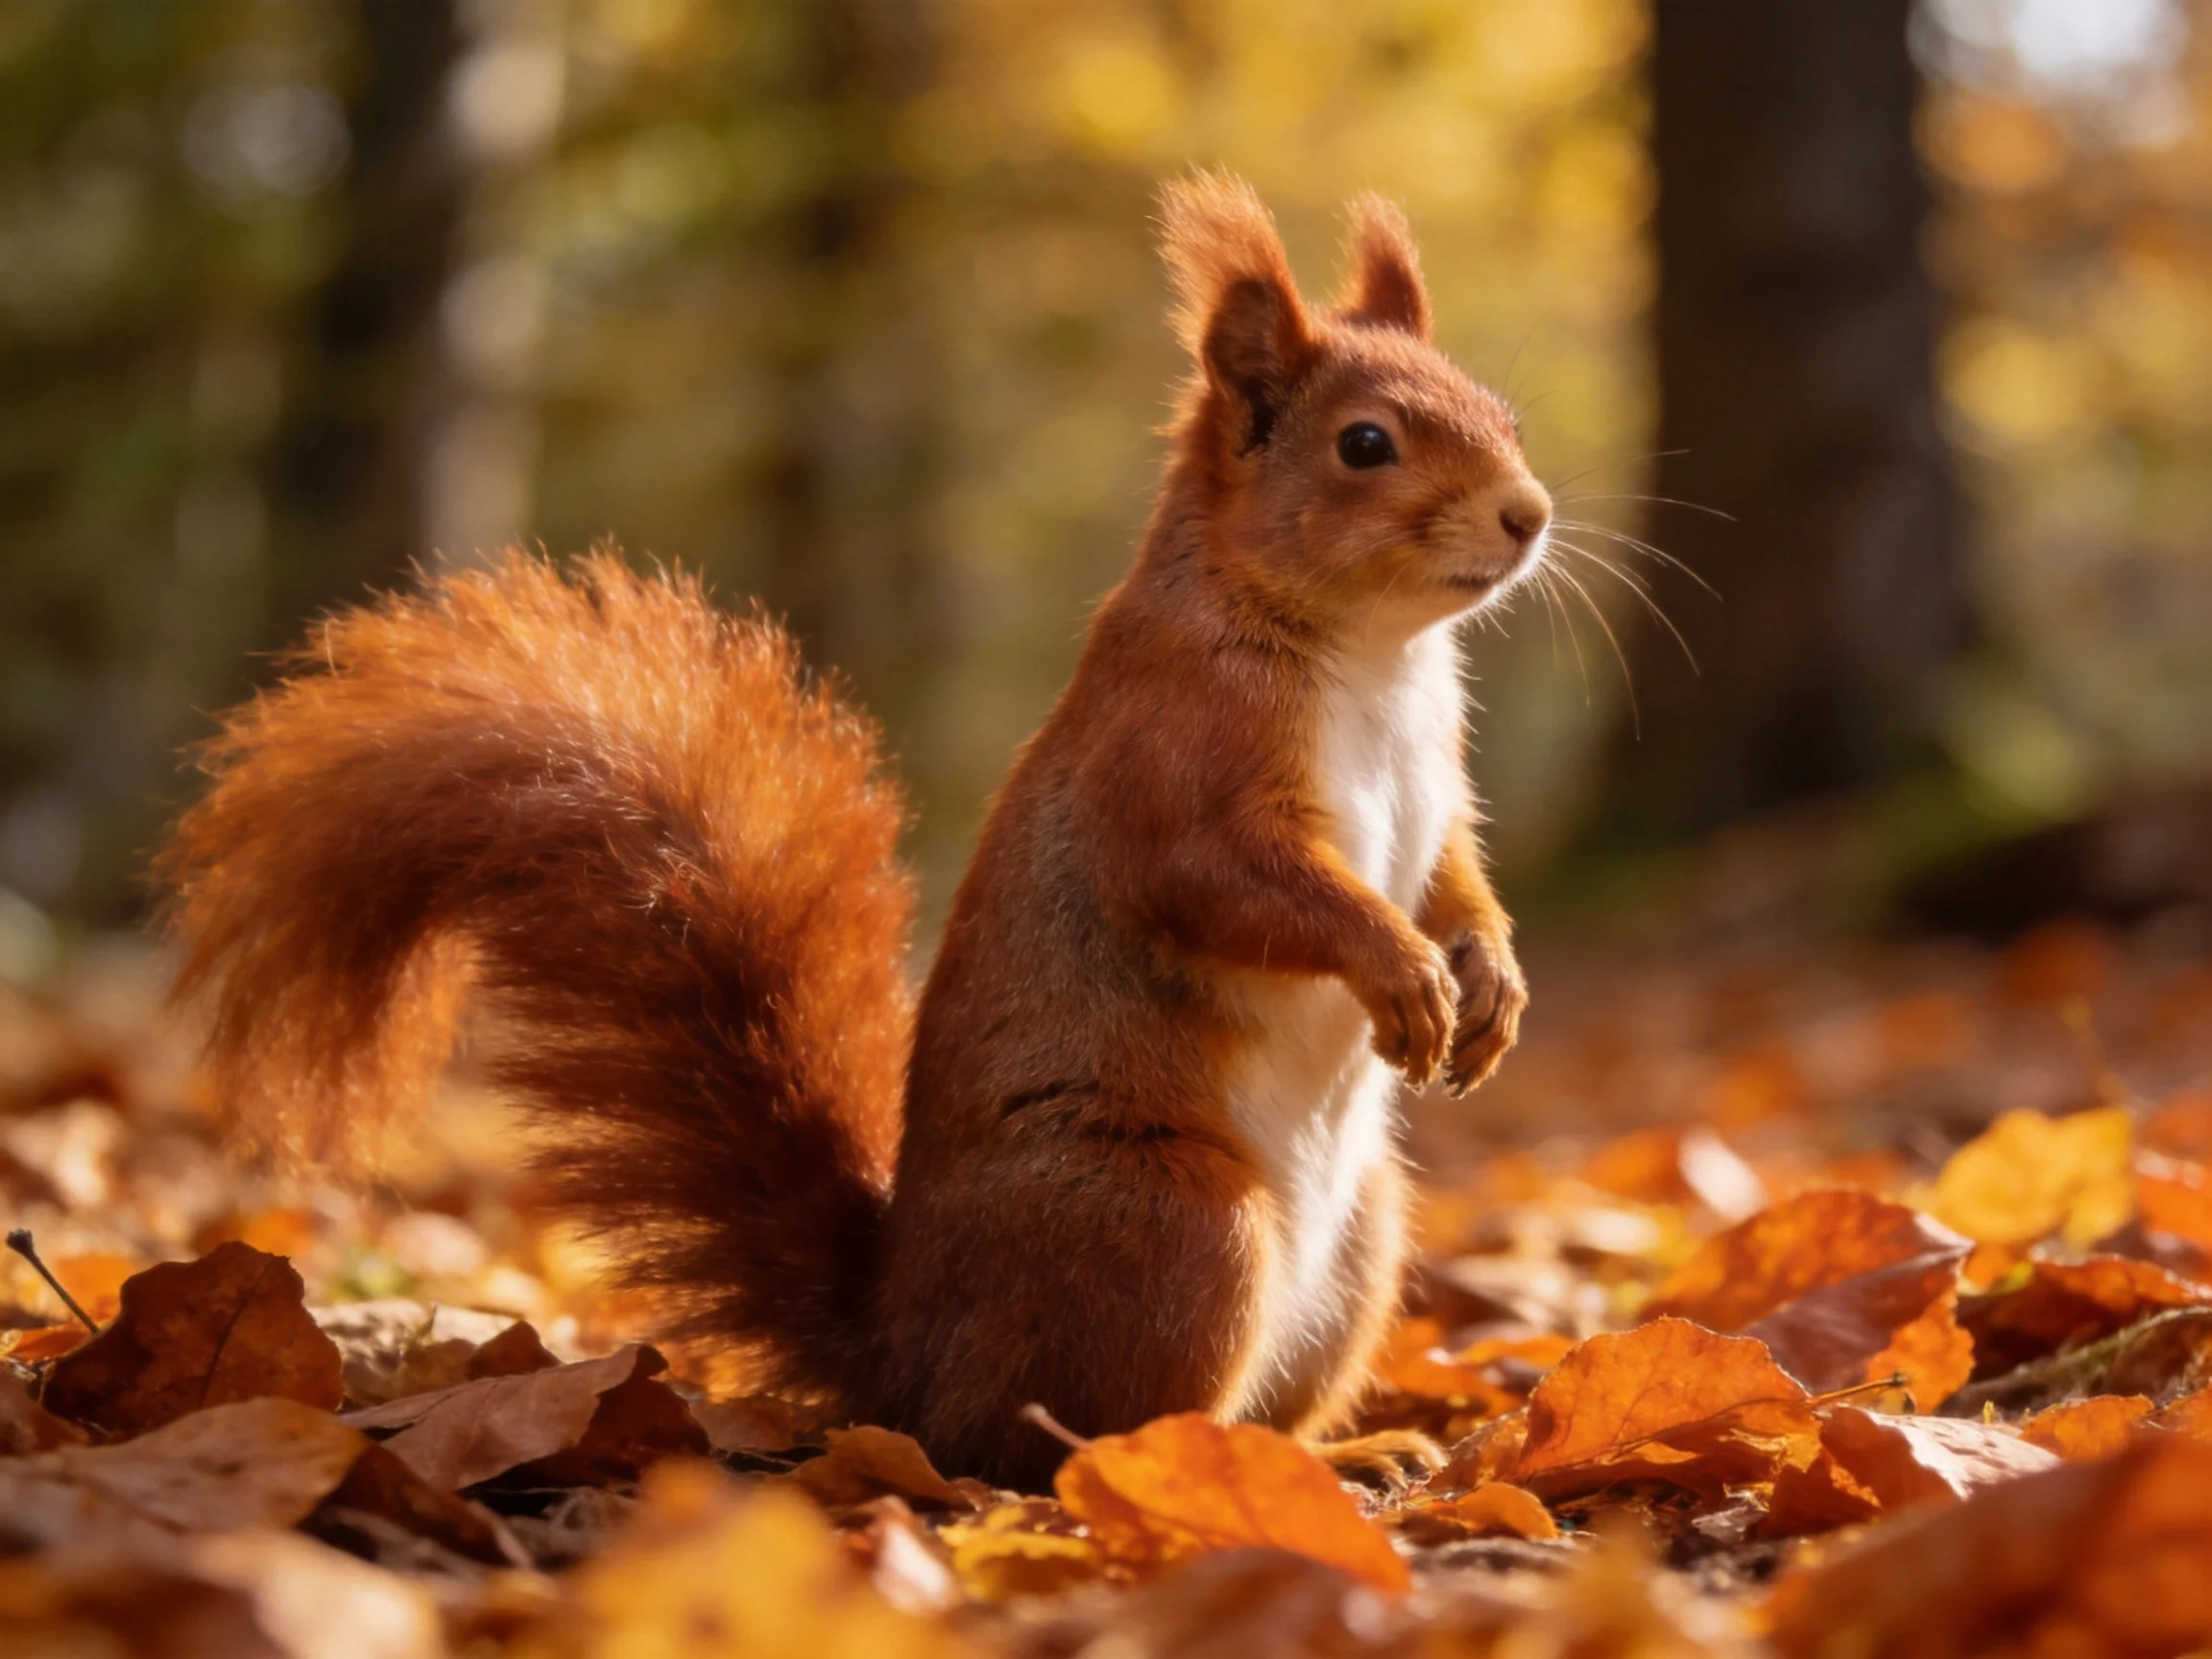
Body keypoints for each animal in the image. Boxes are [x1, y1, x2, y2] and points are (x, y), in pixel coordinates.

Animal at [157, 175, 1549, 1492]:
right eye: (1364, 443)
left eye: (1506, 413)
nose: (1529, 514)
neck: (1371, 655)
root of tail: (905, 1360)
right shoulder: (1175, 757)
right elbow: (1230, 883)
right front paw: (1402, 970)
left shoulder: (1438, 784)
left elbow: (1457, 877)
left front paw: (1489, 981)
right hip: (1177, 1224)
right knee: (1069, 1443)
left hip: (1362, 1241)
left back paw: (1348, 1454)